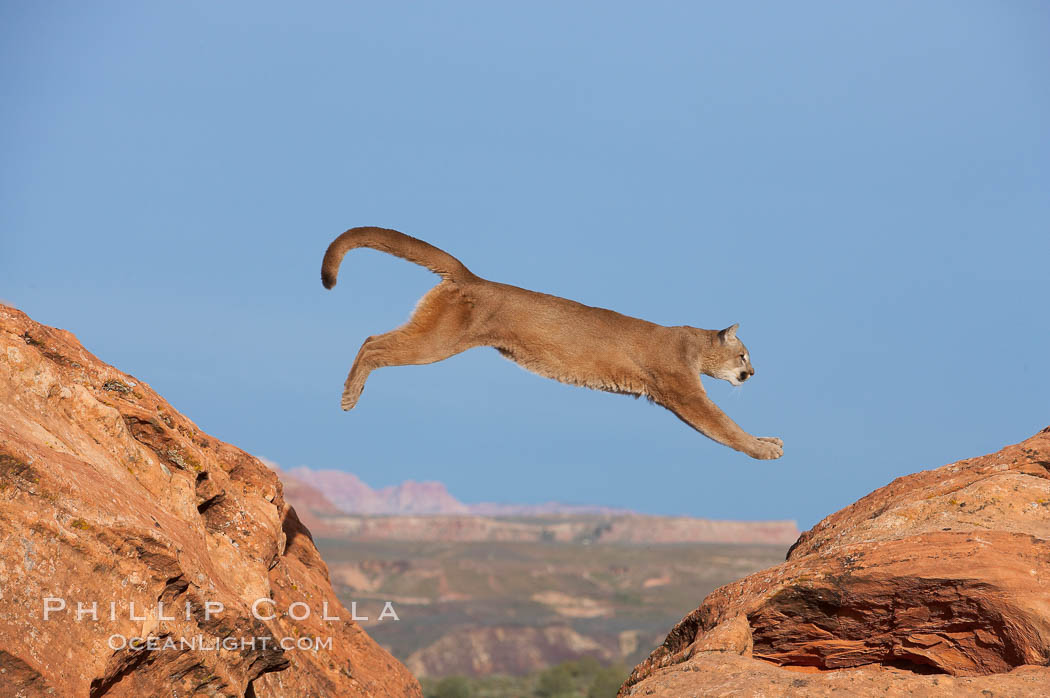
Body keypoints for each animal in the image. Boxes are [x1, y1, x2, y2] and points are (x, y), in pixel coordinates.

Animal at [319, 225, 781, 459]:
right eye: (744, 354)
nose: (753, 372)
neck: (695, 346)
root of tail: (472, 277)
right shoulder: (682, 392)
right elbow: (722, 424)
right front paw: (763, 448)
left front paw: (767, 442)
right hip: (439, 340)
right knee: (374, 345)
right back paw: (349, 397)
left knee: (370, 337)